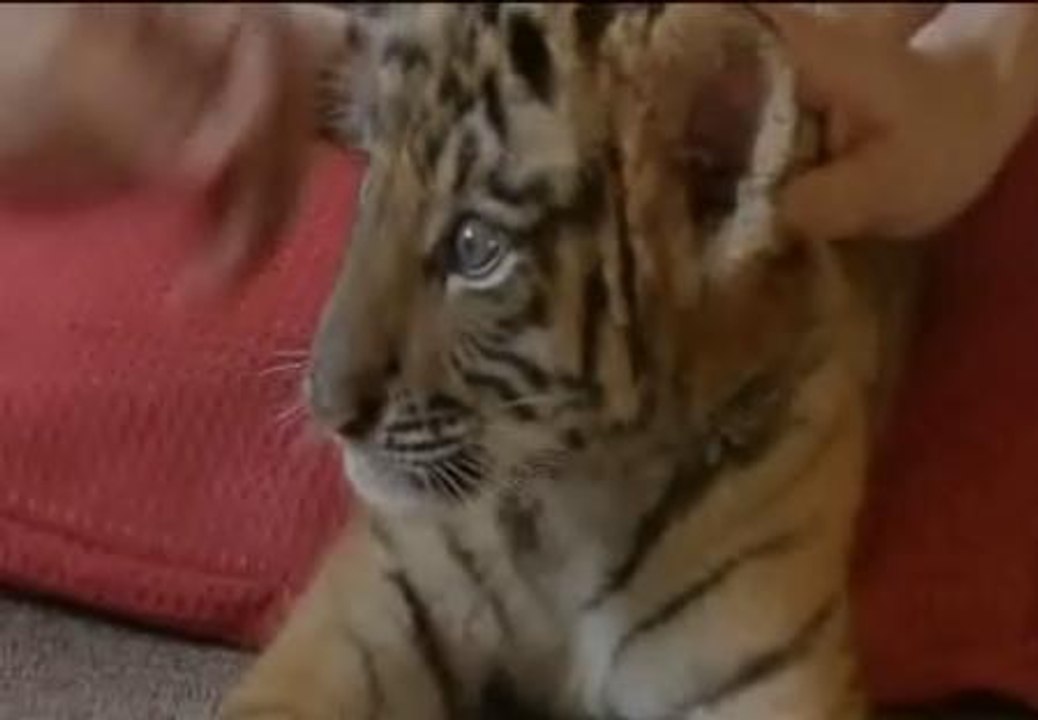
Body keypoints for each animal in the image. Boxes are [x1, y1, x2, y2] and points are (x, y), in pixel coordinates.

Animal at [221, 4, 921, 719]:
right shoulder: (373, 600)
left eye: (475, 246)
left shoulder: (764, 667)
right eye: (372, 187)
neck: (575, 497)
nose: (324, 408)